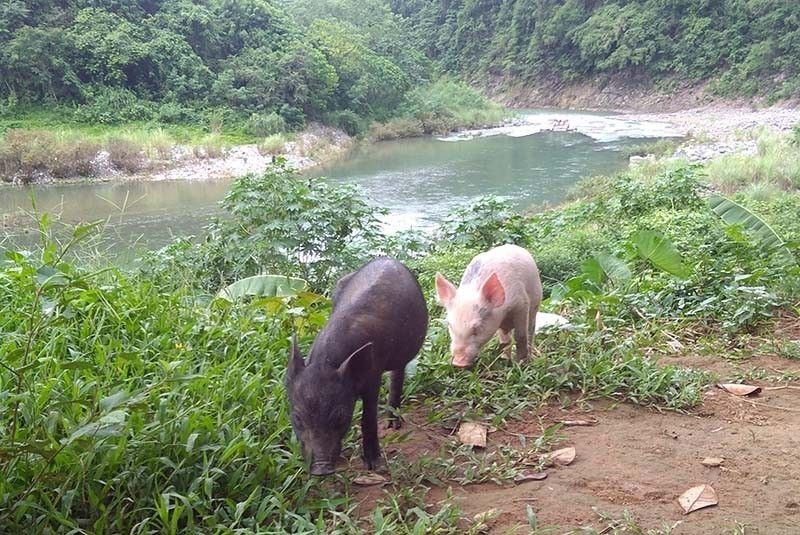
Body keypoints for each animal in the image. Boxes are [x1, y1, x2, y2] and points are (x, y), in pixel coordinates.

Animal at [284, 258, 428, 476]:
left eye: (340, 417)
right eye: (297, 418)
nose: (321, 469)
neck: (327, 363)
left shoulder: (373, 376)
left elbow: (368, 417)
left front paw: (374, 465)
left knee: (398, 372)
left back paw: (393, 424)